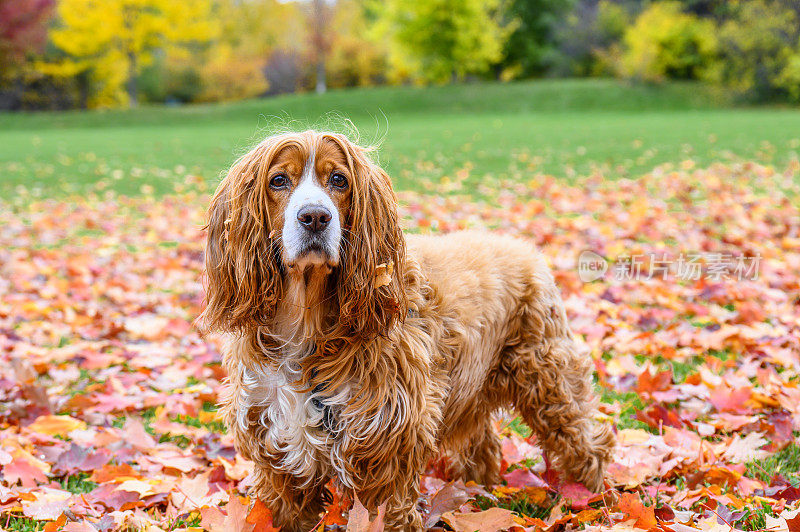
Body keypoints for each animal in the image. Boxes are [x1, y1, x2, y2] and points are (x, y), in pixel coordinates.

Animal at [200, 131, 612, 528]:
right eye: (278, 180)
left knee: (586, 442)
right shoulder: (278, 453)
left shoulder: (387, 446)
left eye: (339, 179)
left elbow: (387, 514)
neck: (305, 326)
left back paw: (589, 499)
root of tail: (523, 246)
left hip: (549, 380)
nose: (315, 216)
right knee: (484, 446)